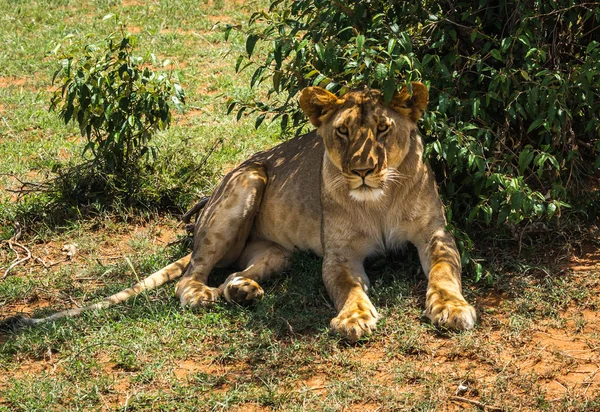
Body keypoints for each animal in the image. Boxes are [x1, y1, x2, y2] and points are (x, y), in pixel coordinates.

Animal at [2, 81, 476, 342]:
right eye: (342, 132)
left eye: (382, 129)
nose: (361, 171)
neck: (377, 200)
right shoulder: (340, 255)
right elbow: (349, 288)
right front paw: (354, 318)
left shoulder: (435, 234)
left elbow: (443, 272)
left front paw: (451, 309)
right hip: (247, 182)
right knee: (190, 277)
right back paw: (205, 294)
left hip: (276, 251)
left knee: (232, 273)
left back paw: (241, 290)